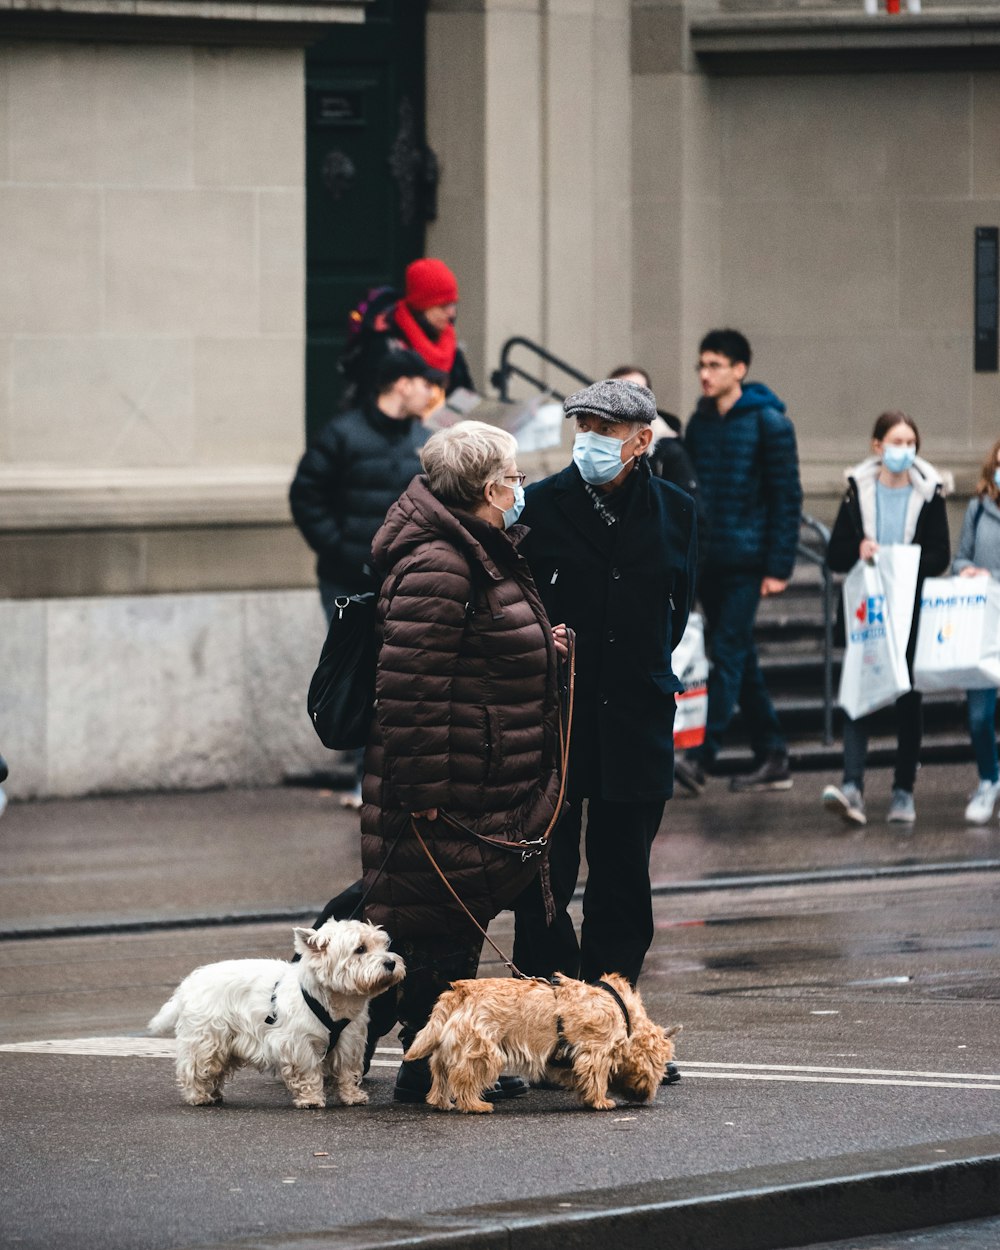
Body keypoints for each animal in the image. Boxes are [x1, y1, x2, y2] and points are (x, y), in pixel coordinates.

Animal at [147, 915, 402, 1110]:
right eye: (360, 949)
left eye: (383, 945)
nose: (391, 963)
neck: (332, 1000)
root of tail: (188, 984)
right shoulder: (298, 1043)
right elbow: (307, 1071)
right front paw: (311, 1099)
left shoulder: (350, 1040)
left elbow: (347, 1070)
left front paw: (353, 1096)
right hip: (208, 1038)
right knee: (197, 1067)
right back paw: (199, 1096)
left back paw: (214, 1094)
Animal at [405, 970, 680, 1120]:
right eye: (657, 1065)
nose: (646, 1098)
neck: (624, 1012)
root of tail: (459, 991)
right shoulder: (596, 1051)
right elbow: (596, 1077)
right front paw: (601, 1101)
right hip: (483, 1051)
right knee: (464, 1078)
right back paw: (475, 1105)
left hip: (447, 1048)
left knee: (440, 1072)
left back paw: (440, 1101)